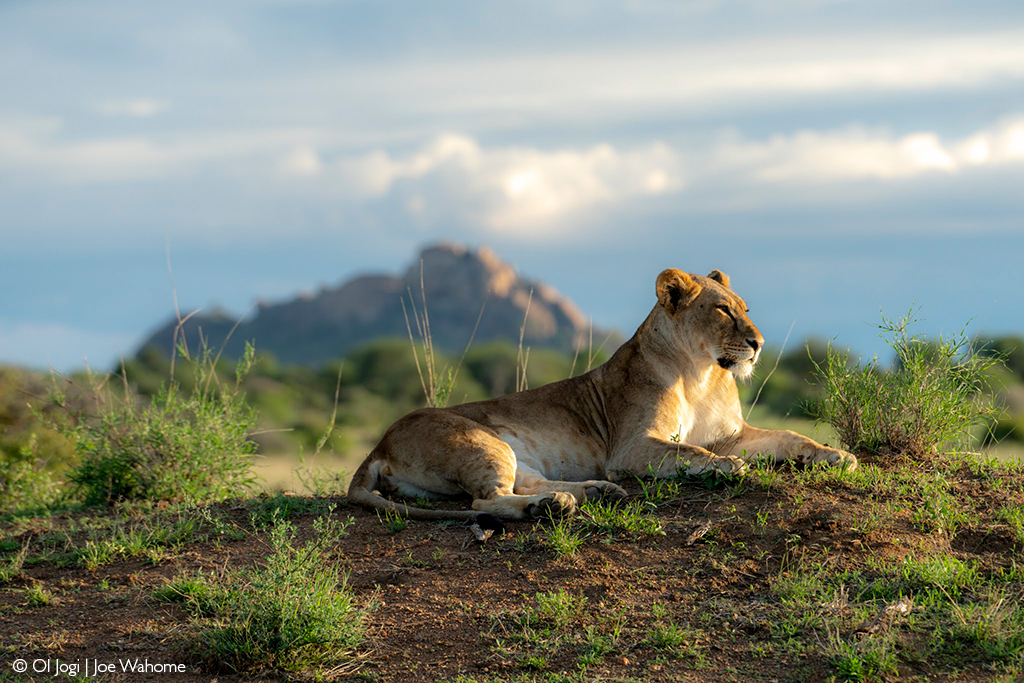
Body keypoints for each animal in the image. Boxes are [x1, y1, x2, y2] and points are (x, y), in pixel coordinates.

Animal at [348, 268, 857, 523]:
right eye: (722, 310)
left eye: (746, 309)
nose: (759, 343)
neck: (701, 372)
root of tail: (379, 444)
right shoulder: (631, 447)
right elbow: (689, 452)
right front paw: (727, 468)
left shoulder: (733, 433)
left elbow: (790, 437)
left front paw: (836, 455)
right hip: (478, 441)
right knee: (485, 501)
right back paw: (550, 507)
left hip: (511, 452)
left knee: (524, 483)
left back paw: (592, 492)